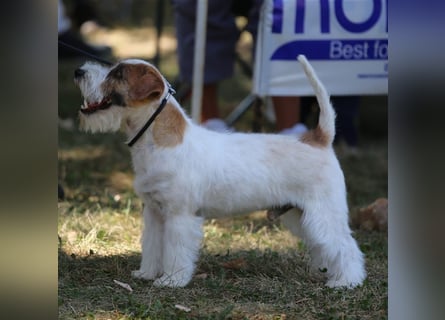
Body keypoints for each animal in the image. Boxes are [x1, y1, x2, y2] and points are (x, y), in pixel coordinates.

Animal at [73, 54, 364, 288]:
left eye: (118, 74)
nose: (78, 71)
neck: (156, 142)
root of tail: (319, 139)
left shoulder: (179, 216)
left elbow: (175, 251)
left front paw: (171, 280)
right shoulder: (154, 214)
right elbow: (152, 247)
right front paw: (146, 273)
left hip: (323, 213)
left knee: (345, 246)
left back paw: (346, 281)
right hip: (299, 214)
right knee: (323, 246)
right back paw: (325, 272)